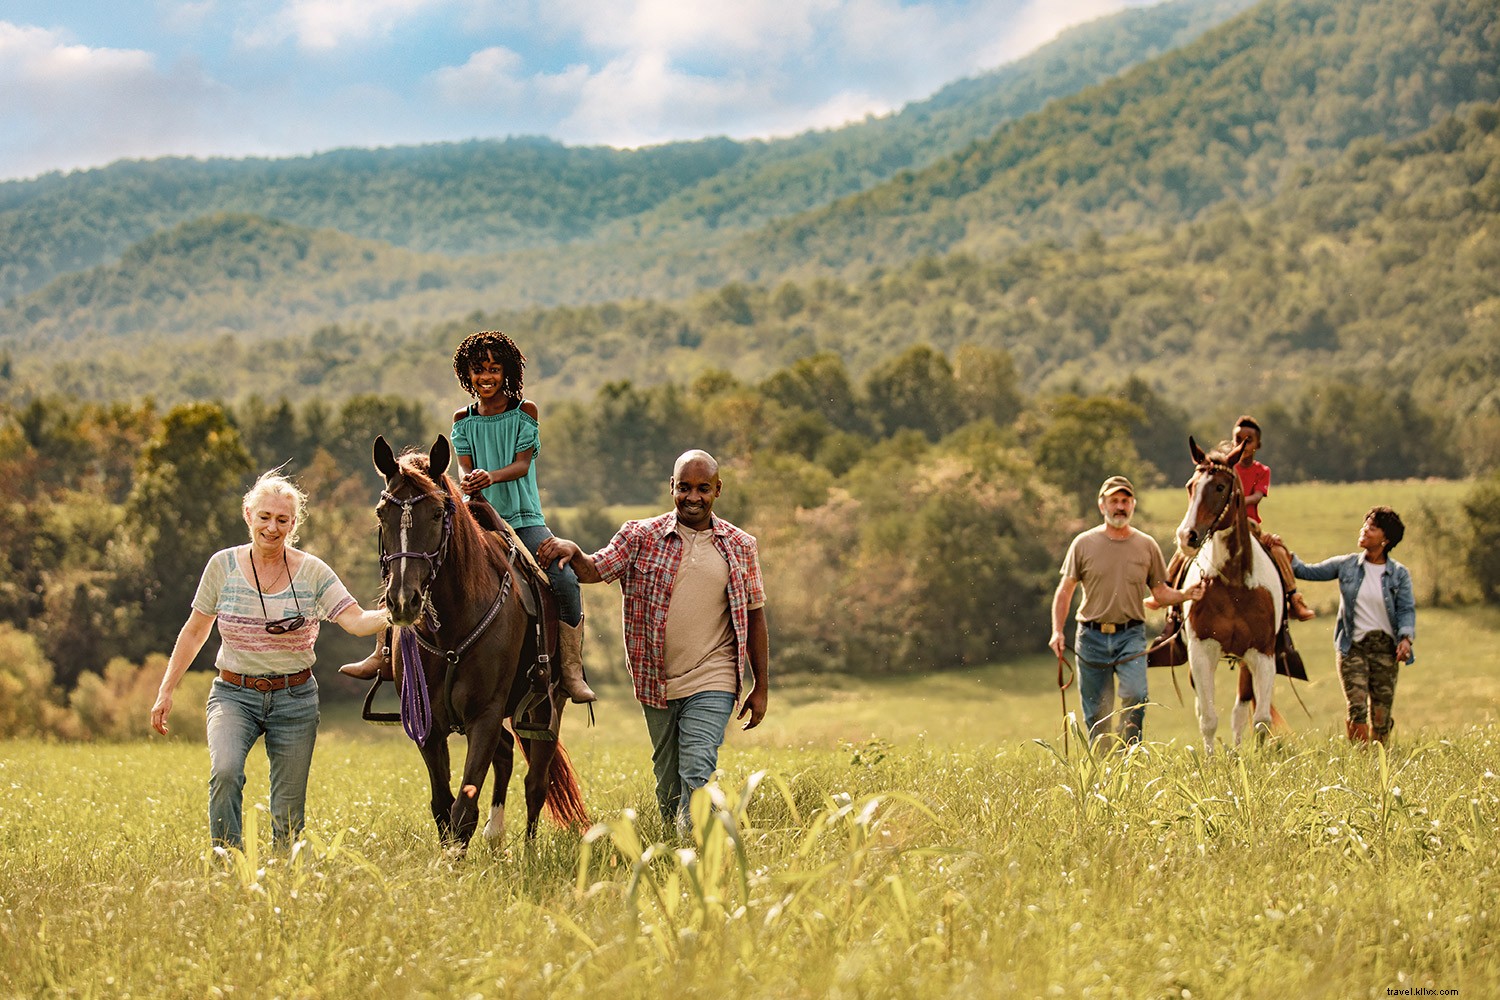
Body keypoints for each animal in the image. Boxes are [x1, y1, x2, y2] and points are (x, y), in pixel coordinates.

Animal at [372, 434, 588, 857]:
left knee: (535, 784)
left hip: (547, 709)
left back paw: (528, 851)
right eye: (381, 514)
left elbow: (463, 808)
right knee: (505, 754)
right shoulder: (427, 725)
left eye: (437, 514)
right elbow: (443, 805)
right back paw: (495, 833)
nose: (403, 601)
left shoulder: (485, 716)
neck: (451, 631)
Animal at [1176, 437, 1284, 749]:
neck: (1235, 585)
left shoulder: (1263, 654)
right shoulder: (1201, 652)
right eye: (1191, 485)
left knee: (1240, 711)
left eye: (1220, 487)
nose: (1187, 536)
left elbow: (1260, 720)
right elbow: (1209, 719)